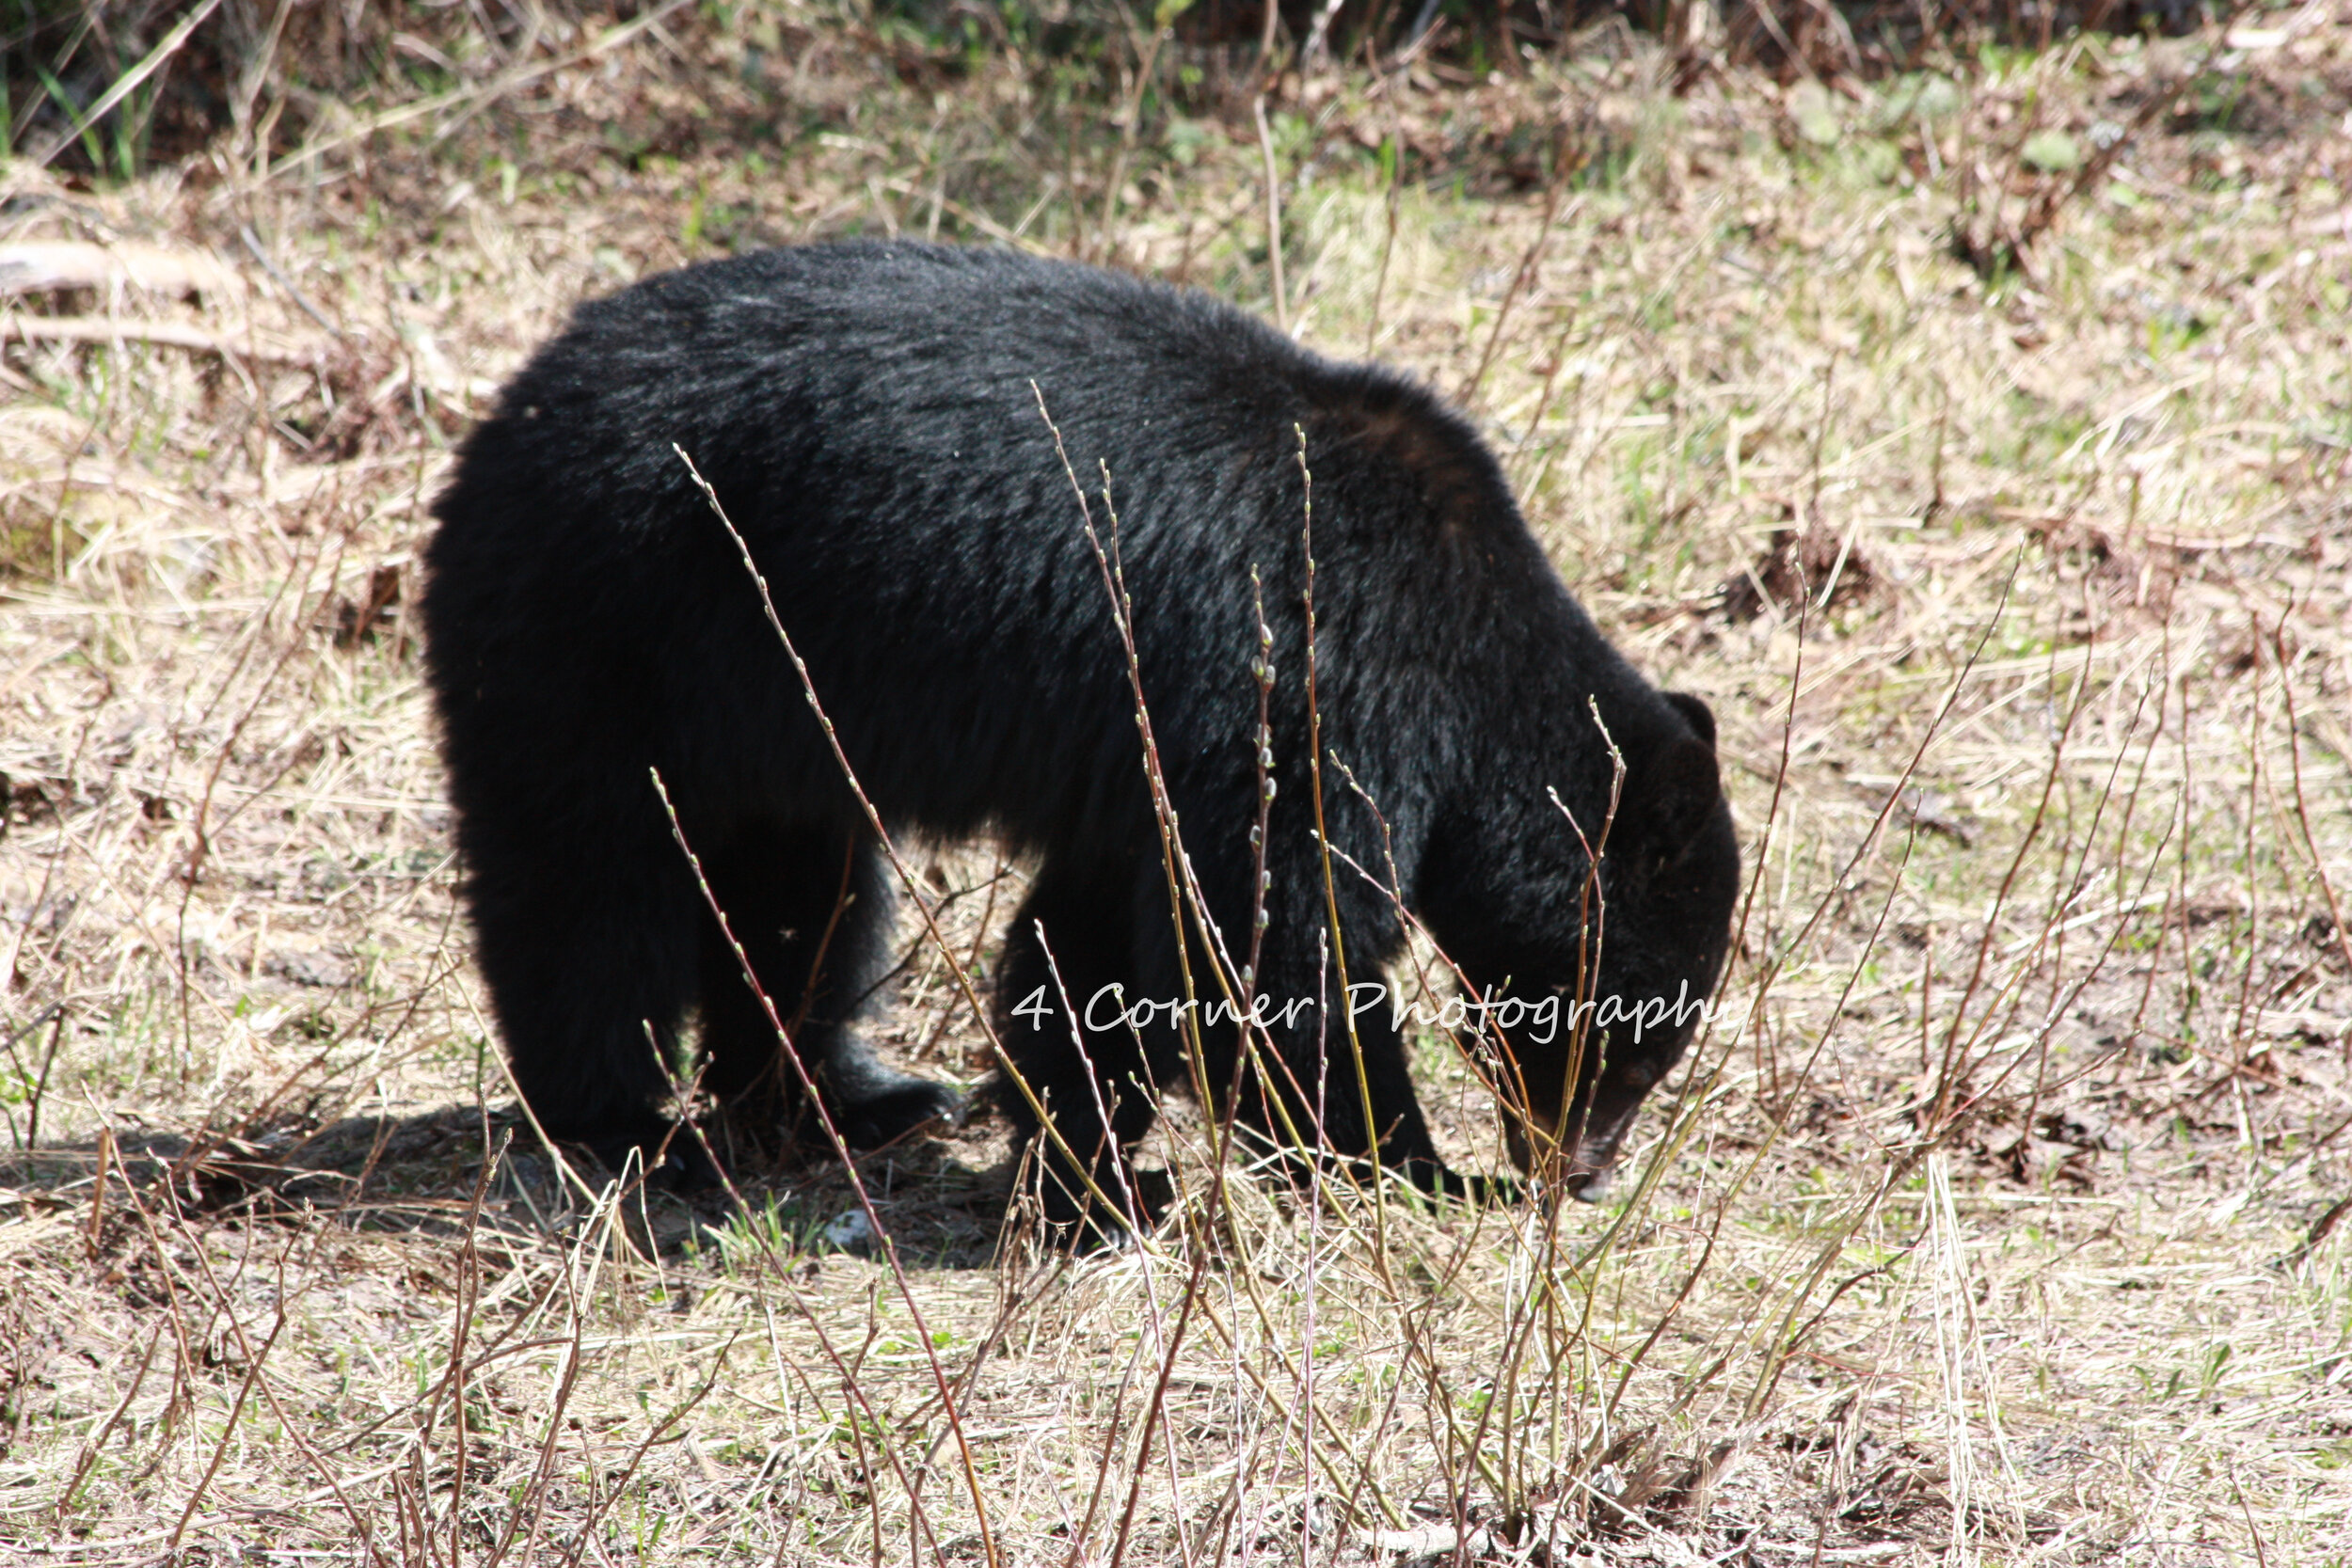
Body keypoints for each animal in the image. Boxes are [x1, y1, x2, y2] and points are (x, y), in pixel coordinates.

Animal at [419, 240, 1739, 1238]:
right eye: (1636, 1043)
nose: (1578, 1170)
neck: (1472, 648)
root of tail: (501, 415)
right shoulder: (1310, 675)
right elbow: (1265, 943)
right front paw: (1418, 1169)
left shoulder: (1158, 747)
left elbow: (1099, 935)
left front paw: (1084, 1147)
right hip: (598, 623)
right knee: (589, 883)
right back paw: (626, 1129)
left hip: (760, 701)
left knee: (794, 892)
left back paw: (853, 1096)